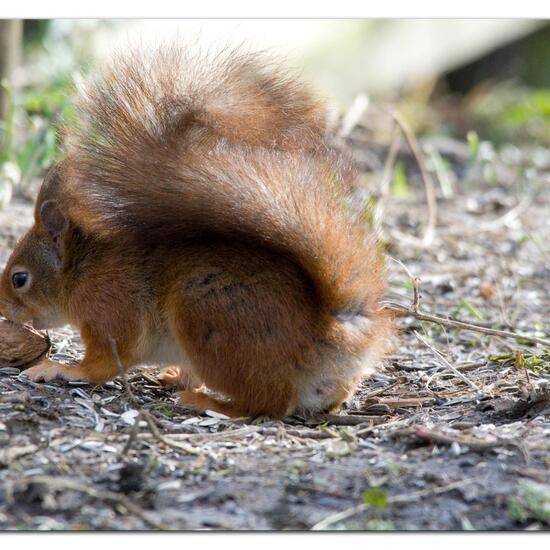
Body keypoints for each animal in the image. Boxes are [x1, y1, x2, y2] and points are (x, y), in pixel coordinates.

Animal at [2, 45, 394, 418]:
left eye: (20, 278)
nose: (4, 311)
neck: (82, 271)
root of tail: (326, 334)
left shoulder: (110, 311)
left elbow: (104, 363)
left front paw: (60, 368)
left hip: (209, 316)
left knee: (268, 402)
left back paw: (207, 402)